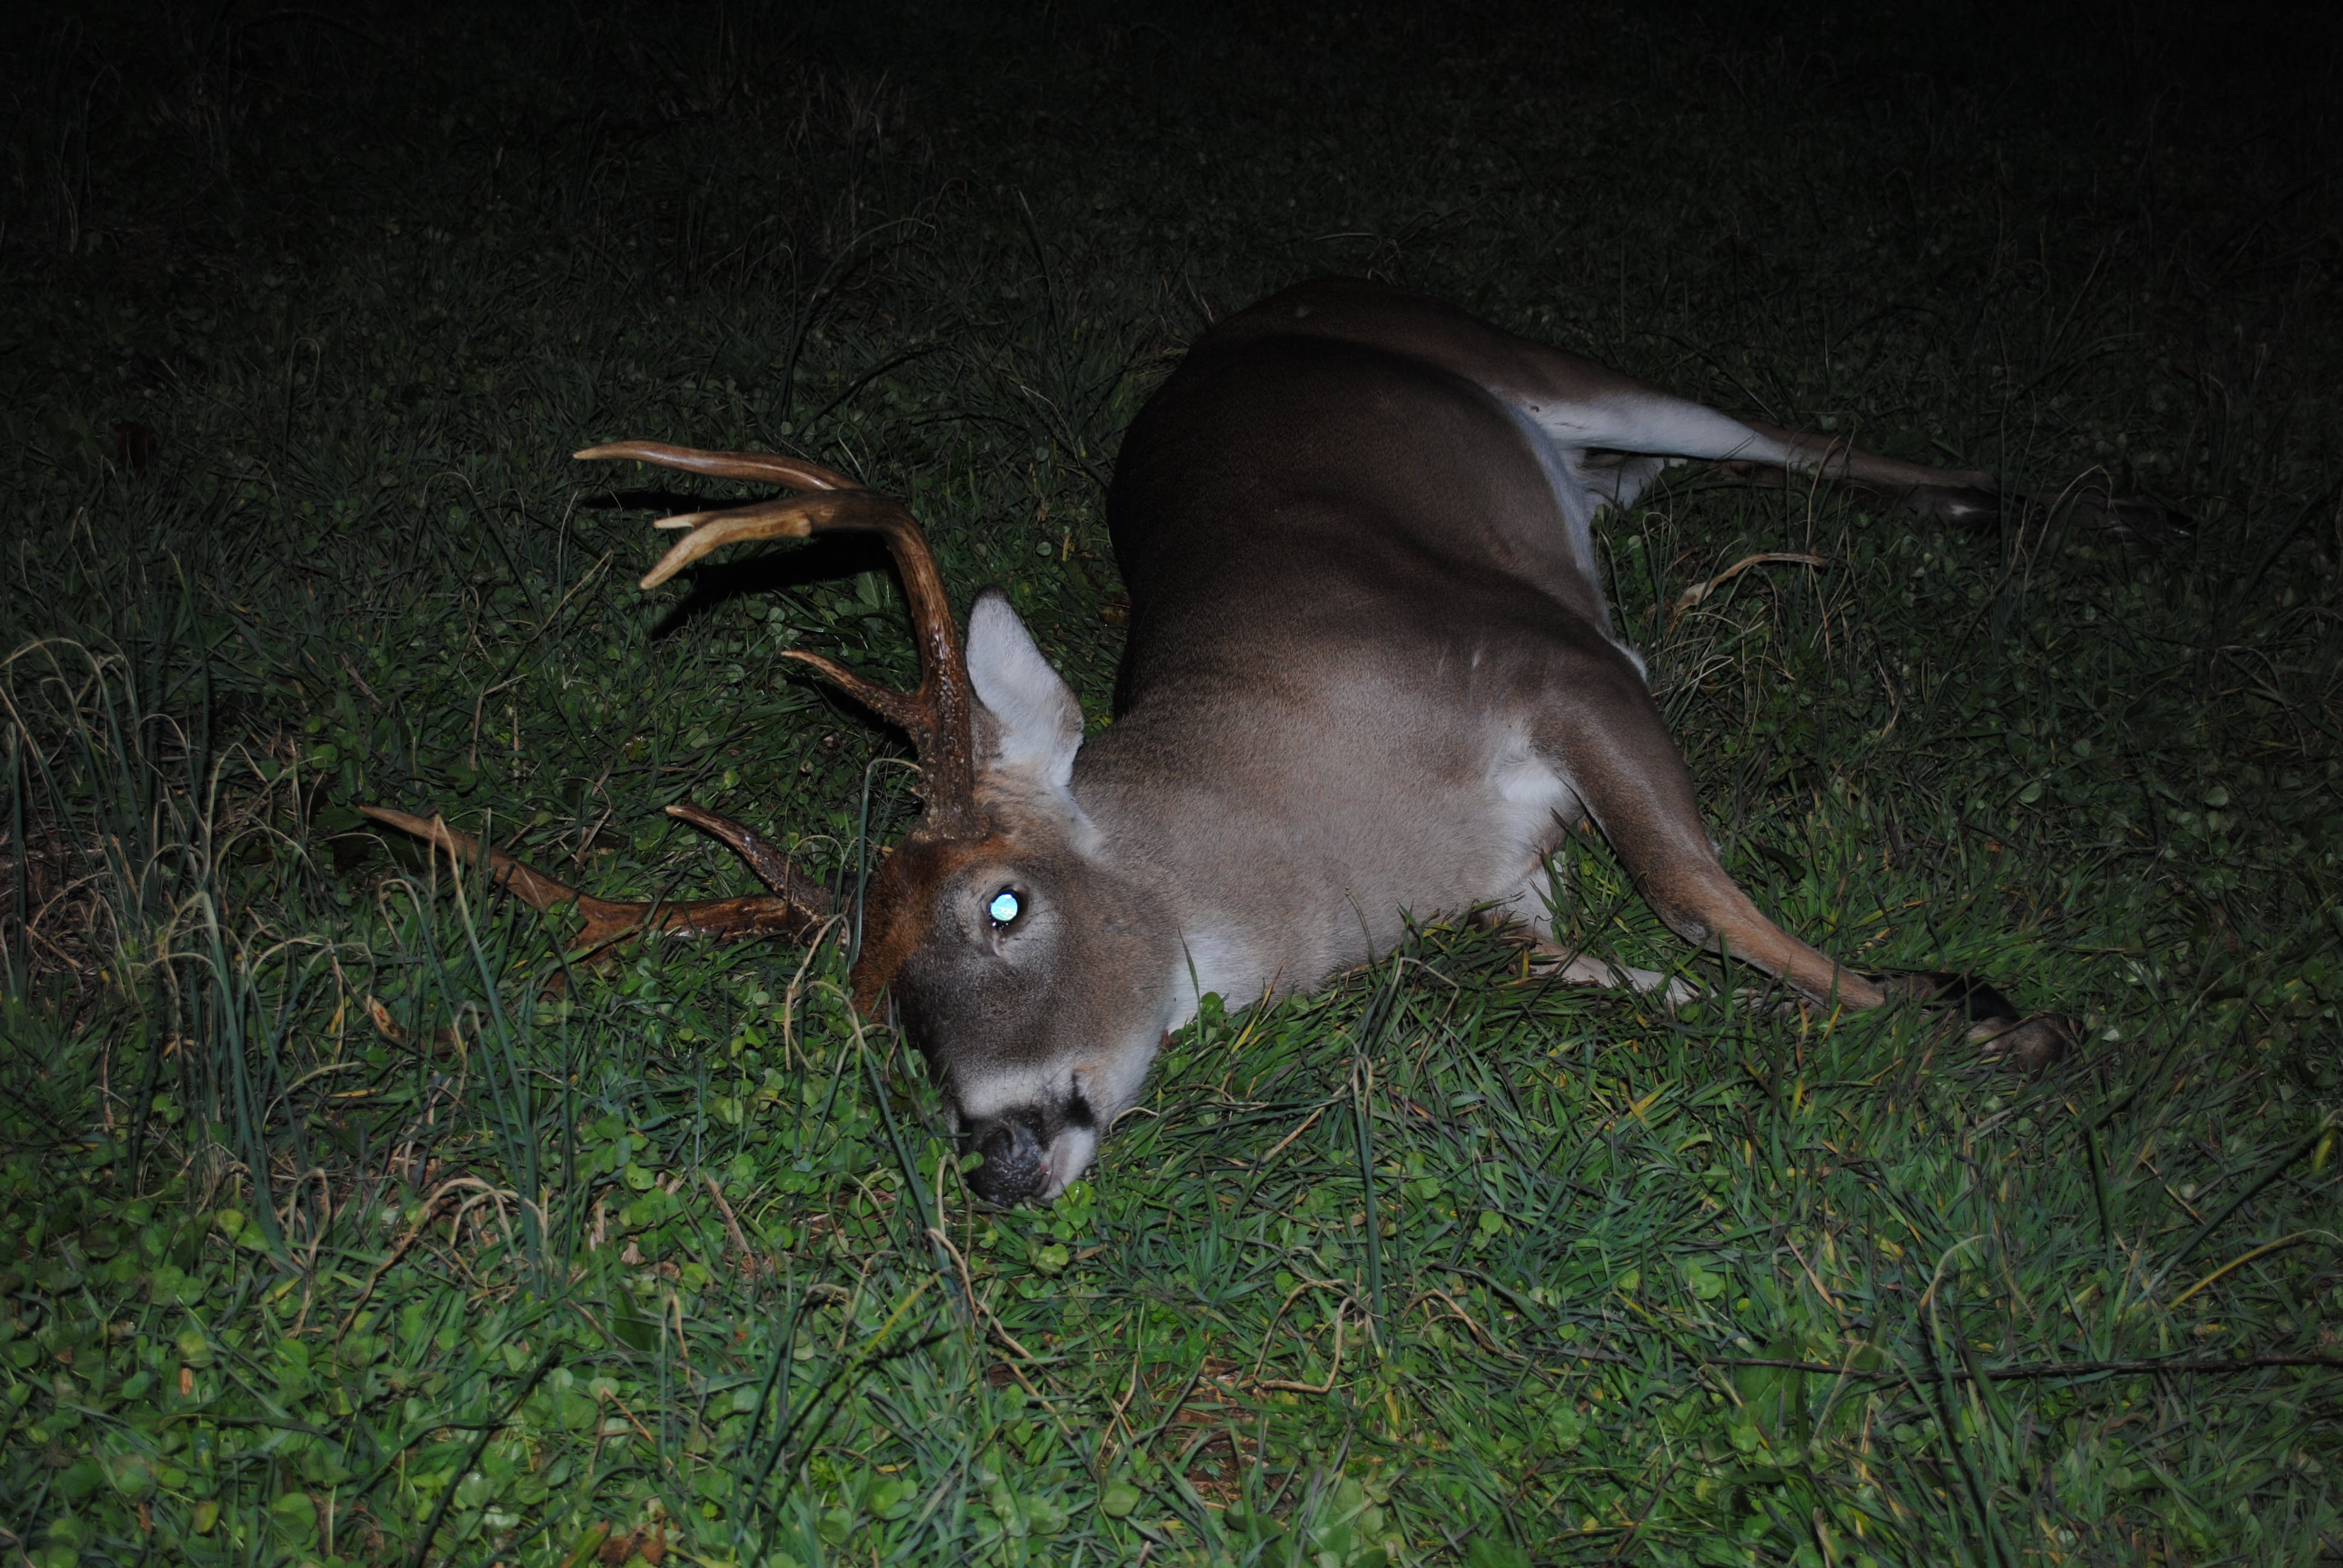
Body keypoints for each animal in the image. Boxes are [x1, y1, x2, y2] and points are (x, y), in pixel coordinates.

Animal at [369, 275, 2094, 1206]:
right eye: (882, 1007)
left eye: (1003, 902)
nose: (993, 1157)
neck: (1342, 823)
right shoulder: (1510, 882)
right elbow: (1610, 969)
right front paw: (1922, 1011)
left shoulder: (1557, 663)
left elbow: (1692, 893)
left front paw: (1980, 1018)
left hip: (1531, 361)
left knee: (1771, 432)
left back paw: (1986, 497)